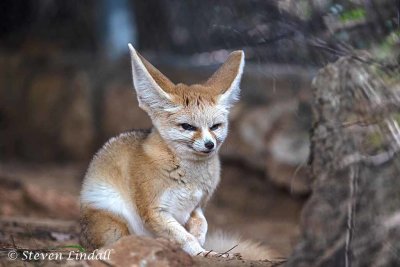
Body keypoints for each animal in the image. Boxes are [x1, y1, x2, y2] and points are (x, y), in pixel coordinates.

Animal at [80, 45, 276, 260]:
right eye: (187, 126)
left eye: (215, 126)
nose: (209, 144)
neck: (190, 176)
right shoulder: (154, 211)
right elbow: (185, 237)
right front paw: (201, 253)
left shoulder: (196, 206)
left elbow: (201, 226)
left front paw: (205, 247)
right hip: (114, 223)